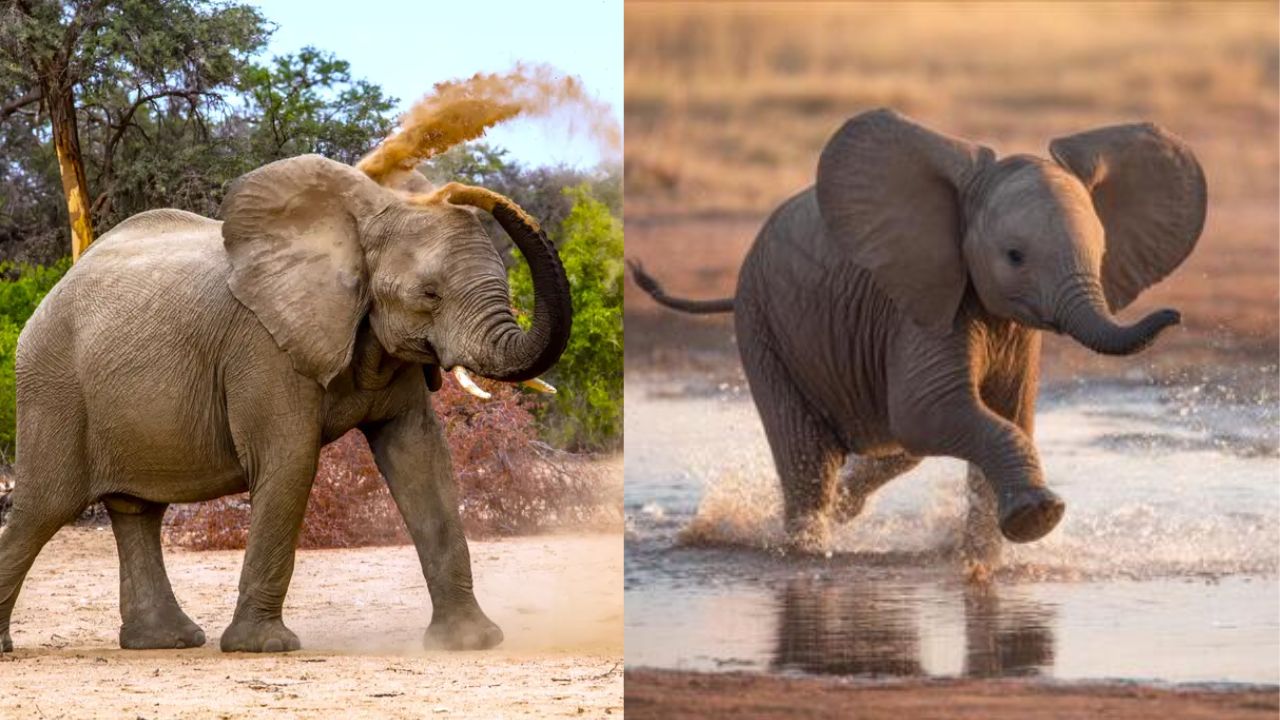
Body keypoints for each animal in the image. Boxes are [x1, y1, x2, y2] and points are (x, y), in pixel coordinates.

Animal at [0, 153, 572, 653]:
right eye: (429, 295)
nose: (457, 189)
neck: (358, 224)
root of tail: (50, 294)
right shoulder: (264, 348)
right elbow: (291, 462)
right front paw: (264, 647)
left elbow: (421, 458)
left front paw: (472, 642)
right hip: (54, 386)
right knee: (43, 508)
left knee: (136, 511)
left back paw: (167, 641)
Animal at [630, 108, 1205, 558]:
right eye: (1014, 257)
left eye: (1102, 254)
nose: (1176, 316)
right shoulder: (926, 302)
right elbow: (932, 410)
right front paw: (1035, 519)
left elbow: (1005, 415)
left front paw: (985, 563)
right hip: (762, 322)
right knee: (809, 458)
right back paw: (807, 549)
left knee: (893, 444)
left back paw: (843, 510)